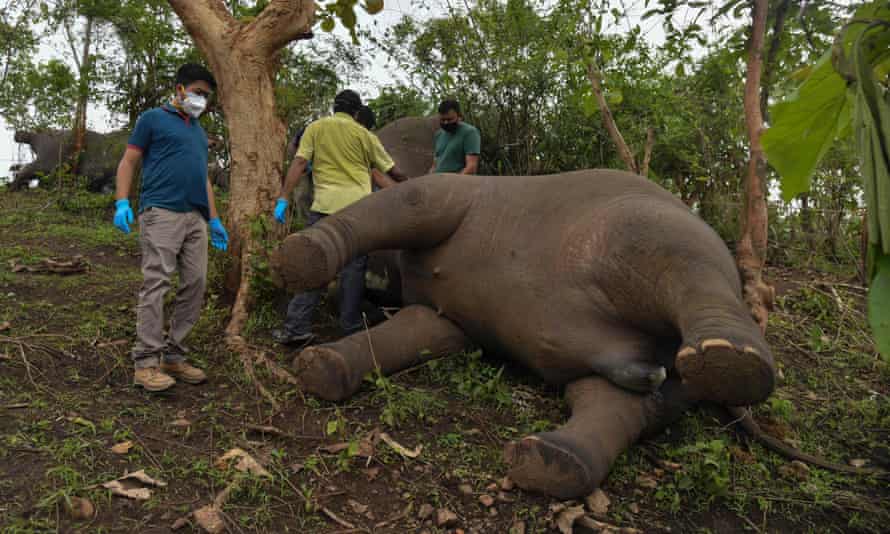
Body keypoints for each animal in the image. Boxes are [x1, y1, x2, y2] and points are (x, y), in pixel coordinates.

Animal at [274, 168, 778, 499]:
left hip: (649, 225)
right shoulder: (448, 317)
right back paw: (551, 463)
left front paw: (298, 257)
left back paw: (729, 360)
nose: (373, 291)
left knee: (676, 258)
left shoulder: (456, 189)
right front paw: (322, 367)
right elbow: (425, 330)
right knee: (620, 399)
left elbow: (414, 201)